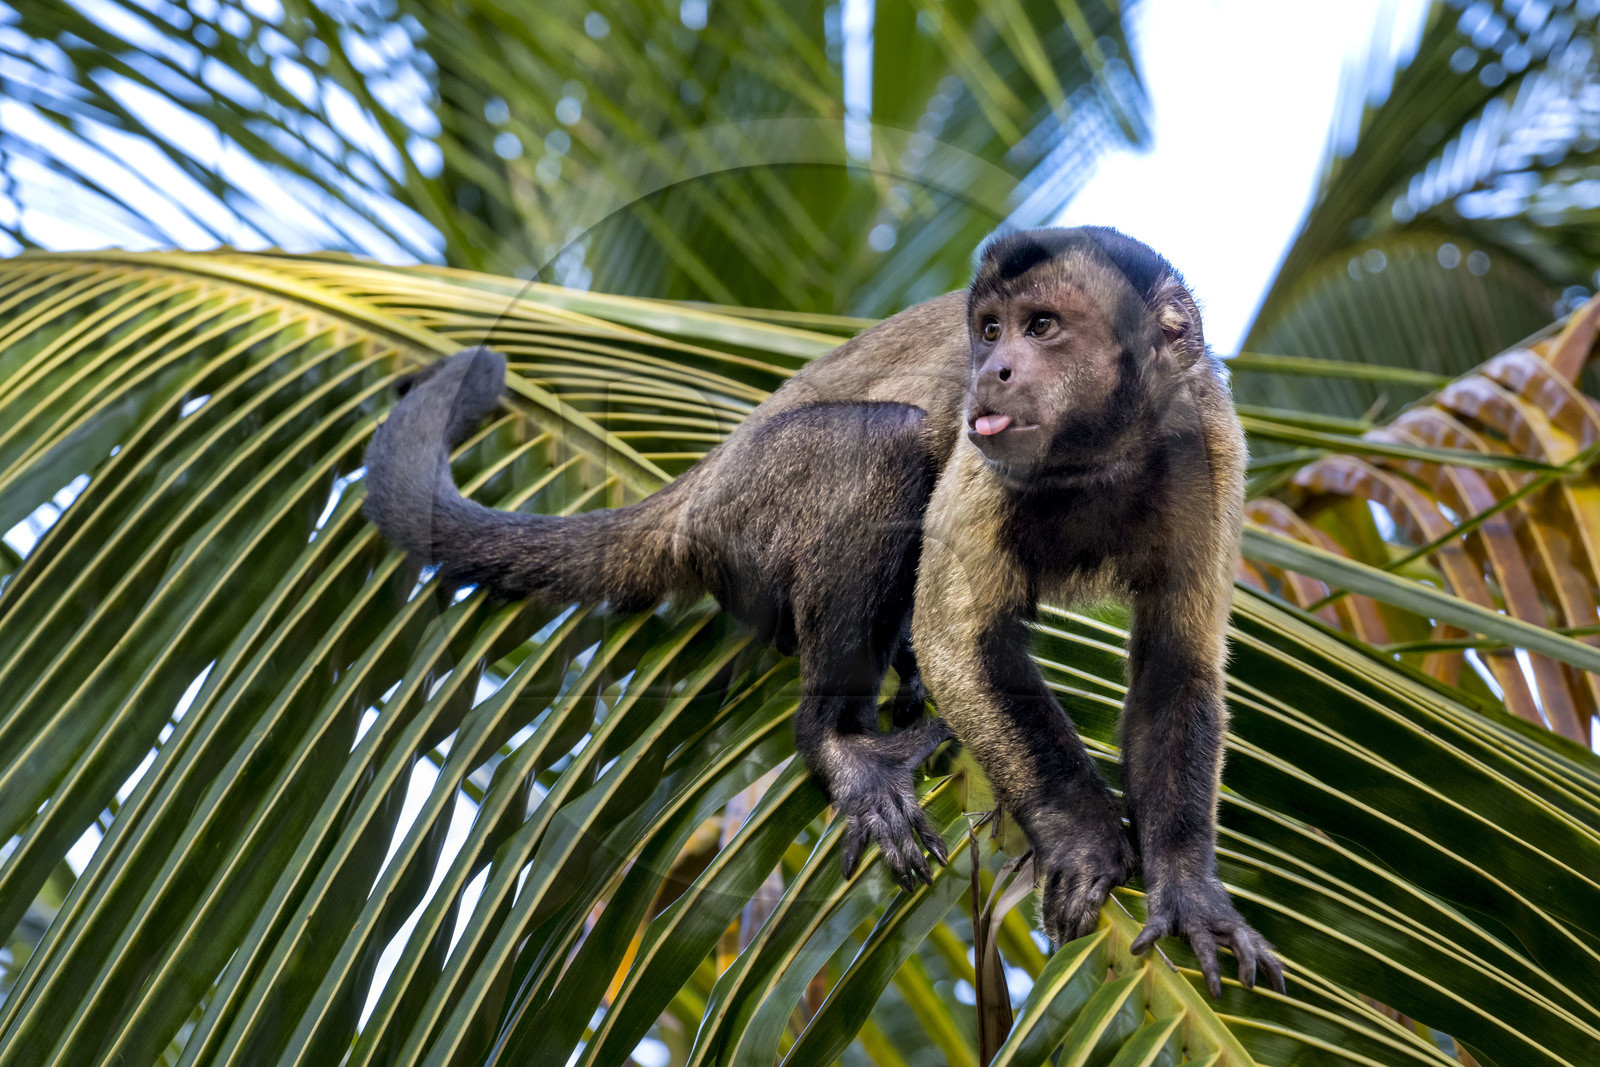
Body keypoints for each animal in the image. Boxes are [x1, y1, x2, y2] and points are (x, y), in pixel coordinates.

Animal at [361, 226, 1285, 996]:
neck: (1099, 453)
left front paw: (1186, 886)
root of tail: (706, 482)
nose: (993, 370)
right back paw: (839, 742)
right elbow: (957, 641)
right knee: (886, 444)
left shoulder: (1208, 444)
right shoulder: (988, 454)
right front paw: (1084, 835)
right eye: (991, 331)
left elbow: (1177, 672)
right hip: (750, 508)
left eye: (1045, 327)